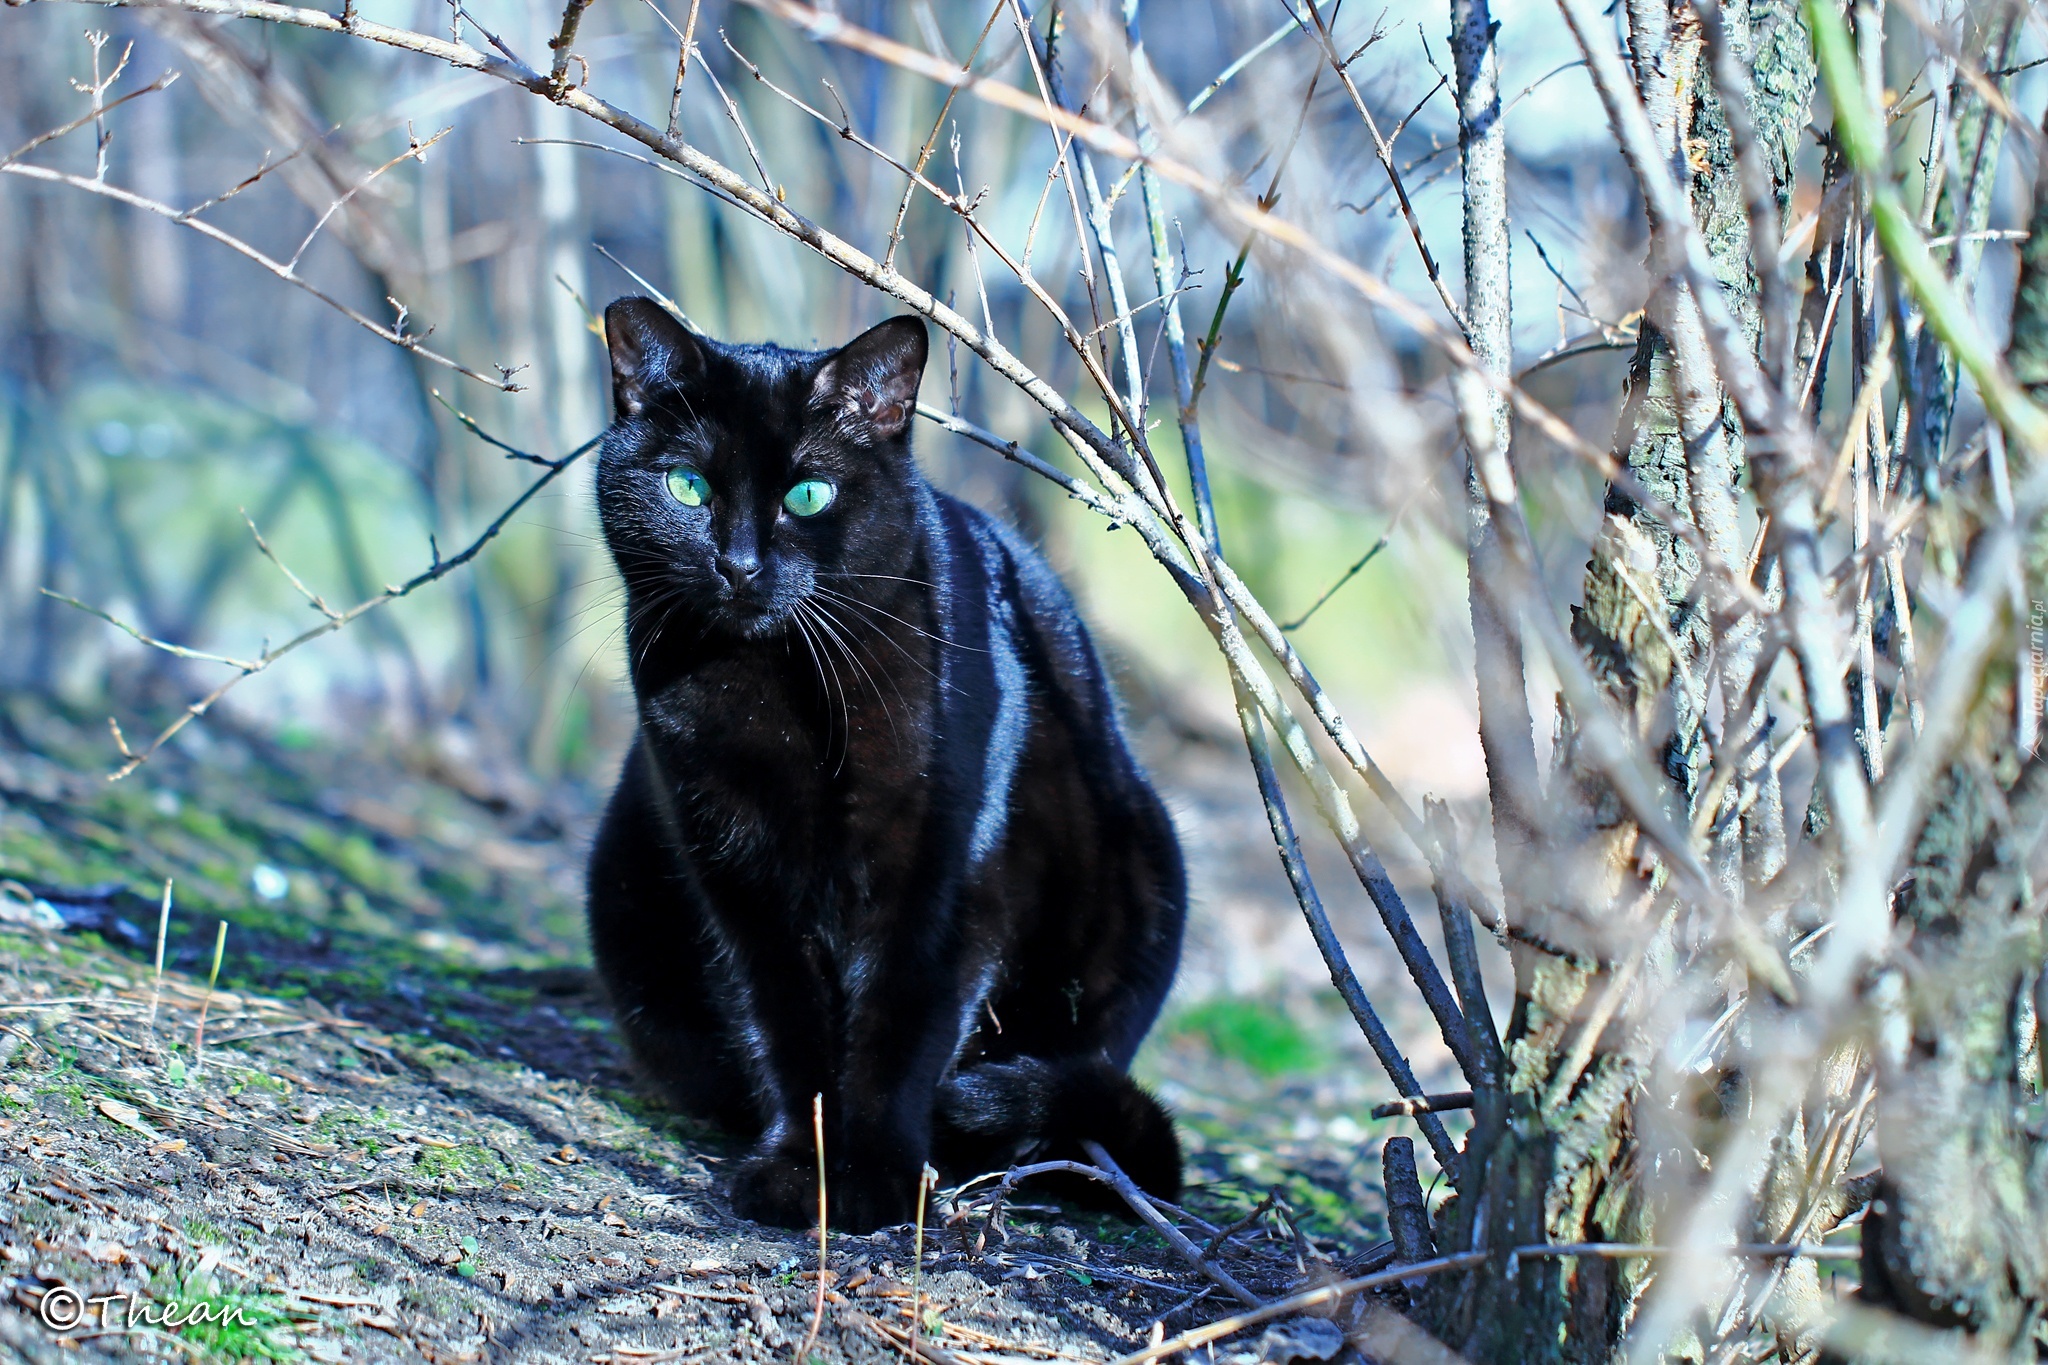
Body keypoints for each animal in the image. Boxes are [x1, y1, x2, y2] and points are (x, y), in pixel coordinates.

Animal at [581, 300, 1187, 1236]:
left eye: (809, 495)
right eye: (688, 488)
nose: (739, 565)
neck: (781, 693)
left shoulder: (942, 879)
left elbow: (900, 1027)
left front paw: (873, 1179)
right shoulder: (735, 878)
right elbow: (783, 1026)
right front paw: (802, 1168)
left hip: (1150, 866)